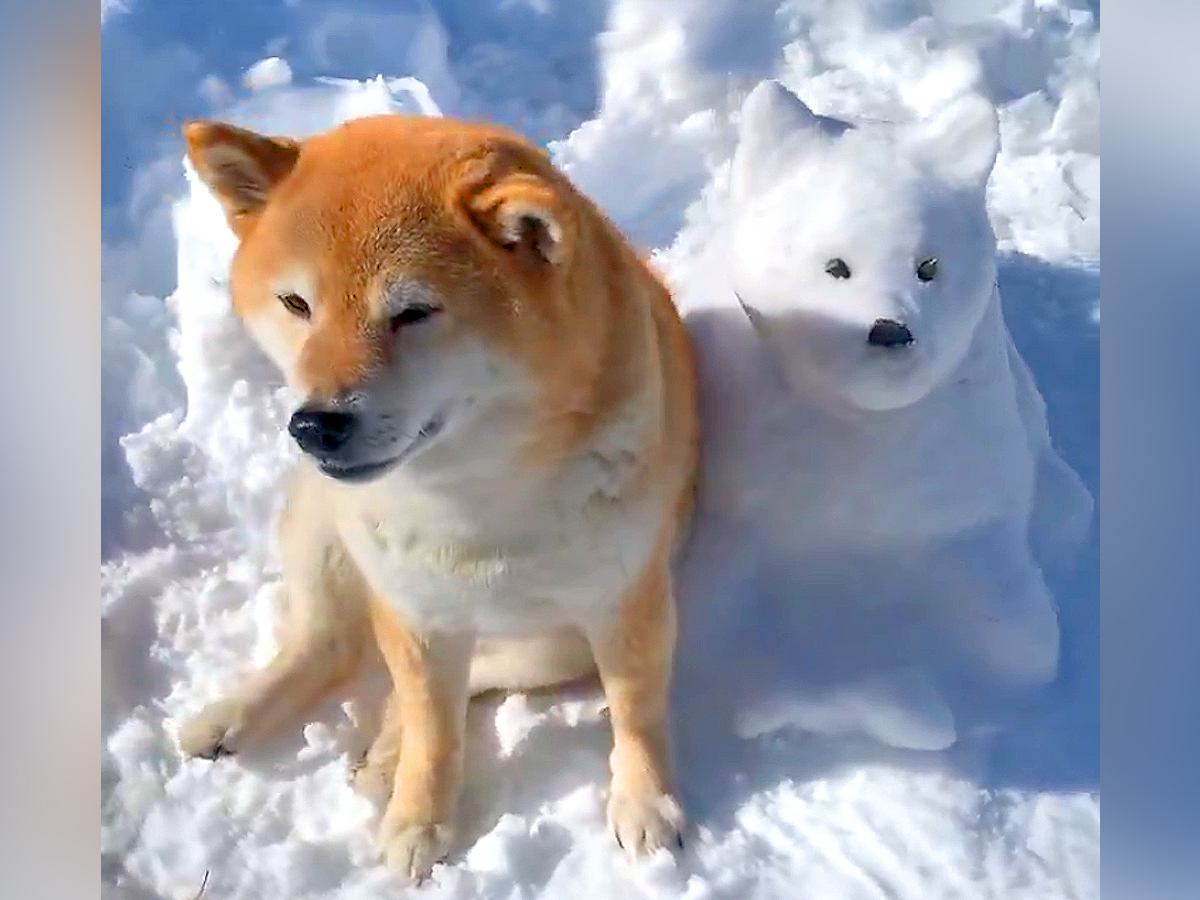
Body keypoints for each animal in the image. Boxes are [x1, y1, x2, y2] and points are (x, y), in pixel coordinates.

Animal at [180, 112, 700, 883]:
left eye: (413, 312)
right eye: (297, 304)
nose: (315, 424)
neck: (474, 500)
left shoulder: (624, 596)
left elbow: (635, 711)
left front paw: (645, 804)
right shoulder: (415, 609)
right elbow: (434, 731)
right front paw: (419, 822)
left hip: (550, 645)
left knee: (461, 675)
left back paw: (380, 752)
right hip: (322, 530)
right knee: (329, 643)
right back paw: (237, 716)